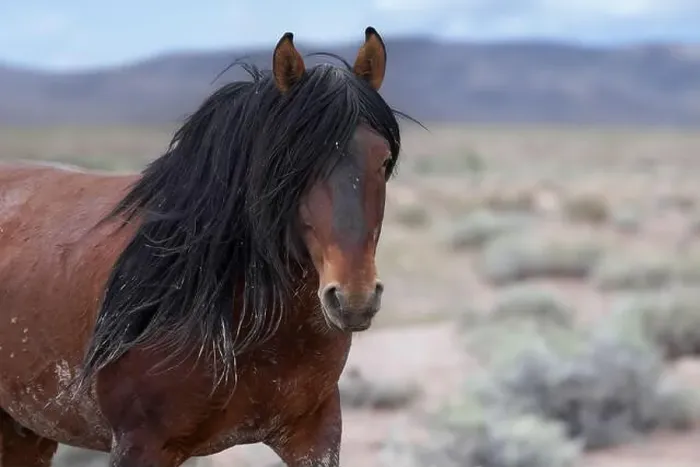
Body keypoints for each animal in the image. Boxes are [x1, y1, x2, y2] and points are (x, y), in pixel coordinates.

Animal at [0, 27, 406, 466]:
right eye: (293, 164)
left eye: (384, 161)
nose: (354, 298)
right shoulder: (140, 445)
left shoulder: (315, 433)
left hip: (26, 430)